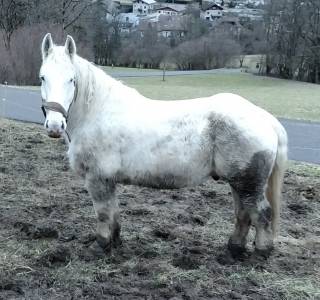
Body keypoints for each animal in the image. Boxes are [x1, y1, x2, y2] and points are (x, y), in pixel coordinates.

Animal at [39, 34, 288, 256]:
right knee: (243, 213)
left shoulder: (97, 178)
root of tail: (267, 119)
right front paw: (115, 242)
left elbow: (103, 213)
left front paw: (100, 245)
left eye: (71, 79)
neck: (98, 111)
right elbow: (113, 212)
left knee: (261, 214)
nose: (55, 125)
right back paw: (234, 249)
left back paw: (261, 252)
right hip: (239, 183)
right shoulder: (108, 180)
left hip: (248, 183)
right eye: (42, 77)